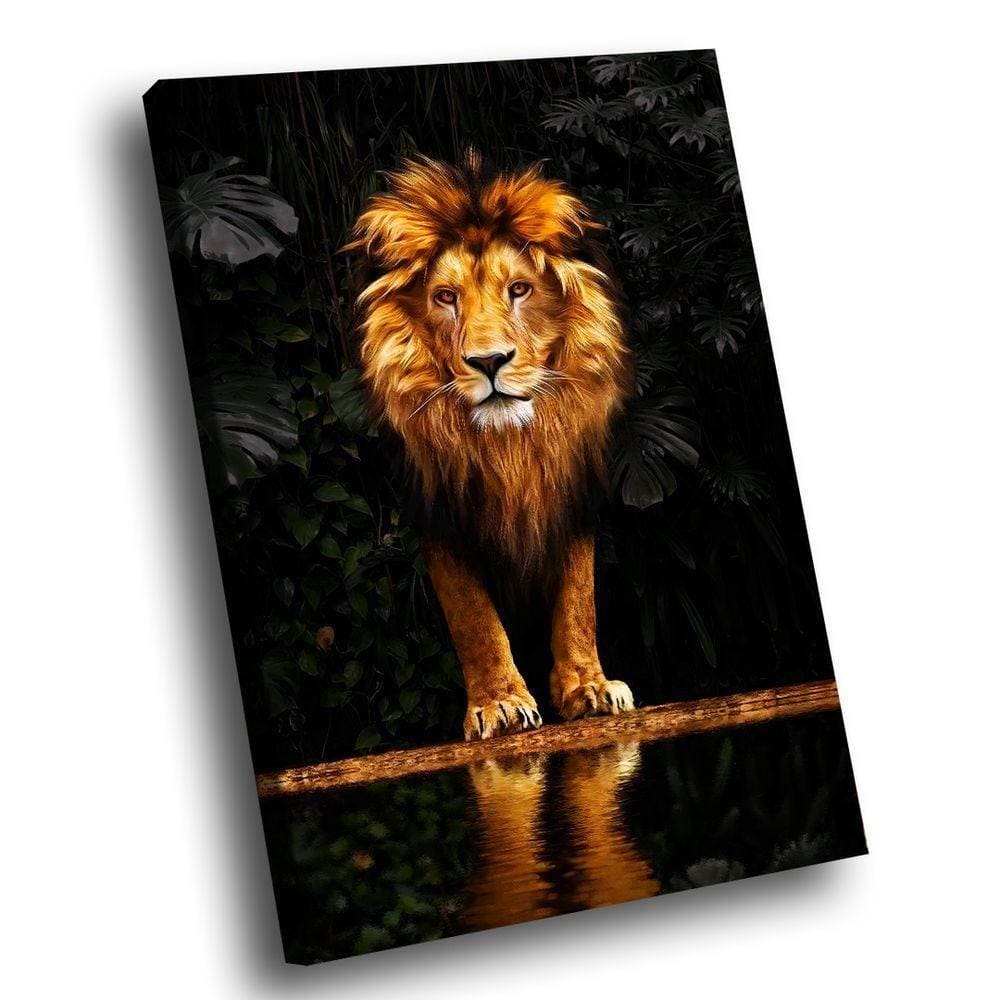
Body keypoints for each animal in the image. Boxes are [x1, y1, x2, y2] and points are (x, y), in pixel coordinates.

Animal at [346, 152, 635, 740]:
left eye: (519, 290)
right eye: (446, 297)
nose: (489, 361)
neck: (510, 448)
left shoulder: (572, 491)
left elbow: (579, 598)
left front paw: (588, 687)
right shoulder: (438, 509)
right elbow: (472, 615)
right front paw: (499, 701)